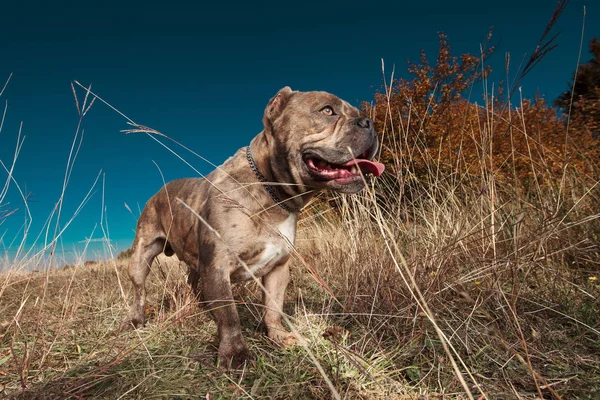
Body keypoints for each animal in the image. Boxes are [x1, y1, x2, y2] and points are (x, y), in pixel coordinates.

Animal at [123, 86, 384, 368]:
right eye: (327, 110)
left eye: (357, 112)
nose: (368, 122)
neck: (271, 191)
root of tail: (158, 192)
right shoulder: (217, 266)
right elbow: (230, 316)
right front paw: (235, 353)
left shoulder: (279, 268)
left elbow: (273, 308)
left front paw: (278, 336)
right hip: (142, 255)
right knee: (139, 289)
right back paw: (136, 320)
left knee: (193, 280)